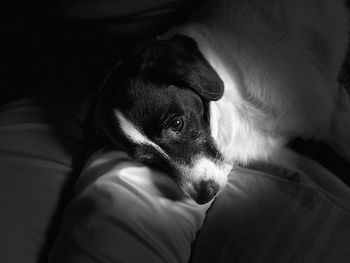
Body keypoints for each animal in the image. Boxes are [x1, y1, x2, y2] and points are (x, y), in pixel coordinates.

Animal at [93, 0, 350, 205]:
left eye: (177, 124)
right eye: (146, 160)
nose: (204, 196)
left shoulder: (331, 119)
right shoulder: (280, 152)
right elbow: (333, 183)